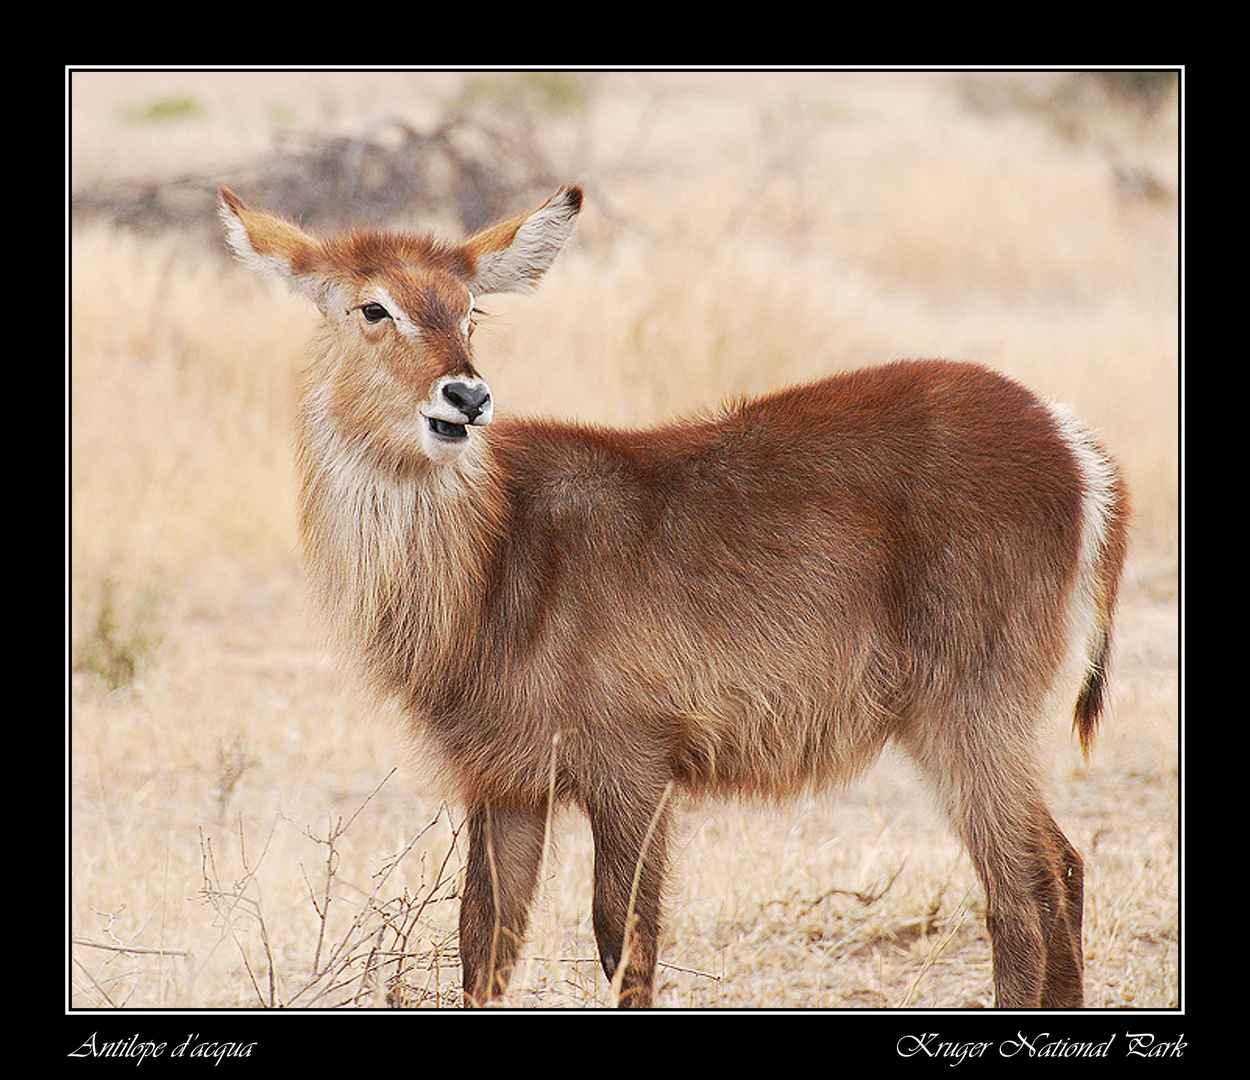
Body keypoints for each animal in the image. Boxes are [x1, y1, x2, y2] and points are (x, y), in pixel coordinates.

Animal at [220, 181, 1130, 1010]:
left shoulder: (634, 765)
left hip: (968, 711)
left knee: (1020, 896)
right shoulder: (505, 783)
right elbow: (484, 945)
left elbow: (624, 944)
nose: (468, 397)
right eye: (373, 308)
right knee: (1065, 869)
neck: (495, 558)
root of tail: (1072, 441)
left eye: (470, 311)